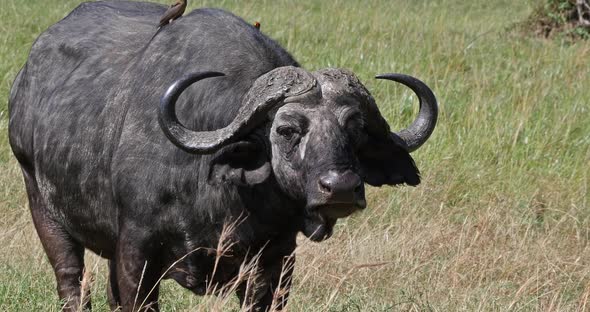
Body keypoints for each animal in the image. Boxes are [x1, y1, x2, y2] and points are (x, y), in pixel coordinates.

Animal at [6, 1, 438, 310]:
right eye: (286, 130)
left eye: (356, 129)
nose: (342, 188)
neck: (219, 188)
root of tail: (24, 79)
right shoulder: (136, 250)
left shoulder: (275, 261)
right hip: (44, 209)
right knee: (71, 281)